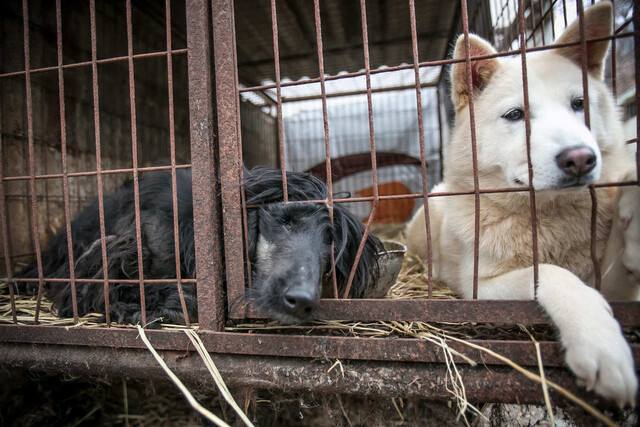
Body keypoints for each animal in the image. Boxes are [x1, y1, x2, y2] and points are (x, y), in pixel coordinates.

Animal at [408, 0, 636, 408]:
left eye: (579, 104)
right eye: (515, 114)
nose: (580, 158)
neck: (547, 217)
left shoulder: (612, 283)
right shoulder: (479, 288)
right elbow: (549, 272)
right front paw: (599, 343)